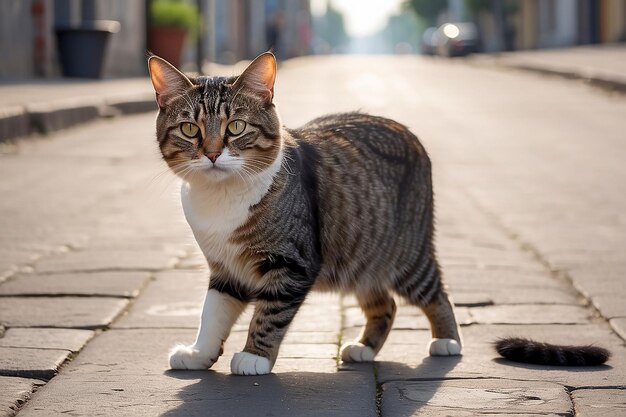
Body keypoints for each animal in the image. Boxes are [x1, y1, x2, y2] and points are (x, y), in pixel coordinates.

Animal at [146, 52, 604, 374]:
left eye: (236, 127)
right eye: (190, 129)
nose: (211, 154)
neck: (221, 198)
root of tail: (404, 128)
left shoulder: (291, 264)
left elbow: (269, 314)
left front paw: (254, 356)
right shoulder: (226, 268)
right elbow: (212, 313)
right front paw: (200, 353)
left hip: (405, 254)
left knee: (436, 293)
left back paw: (447, 341)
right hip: (362, 257)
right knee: (385, 306)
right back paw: (364, 347)